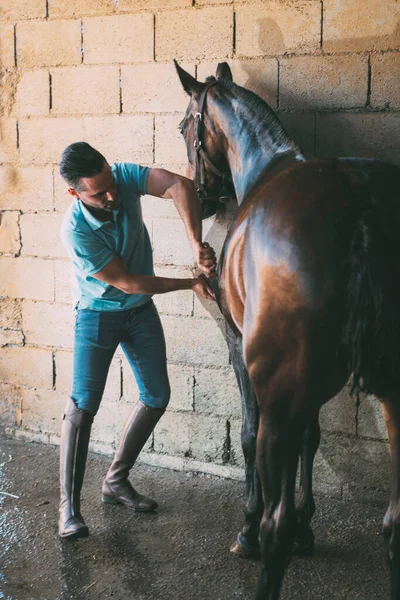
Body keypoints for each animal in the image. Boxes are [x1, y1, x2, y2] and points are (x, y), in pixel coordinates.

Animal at [175, 62, 400, 600]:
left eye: (183, 126)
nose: (202, 200)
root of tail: (361, 208)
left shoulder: (242, 350)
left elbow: (248, 433)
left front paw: (250, 529)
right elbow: (312, 438)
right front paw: (307, 526)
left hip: (277, 379)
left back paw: (265, 535)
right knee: (395, 524)